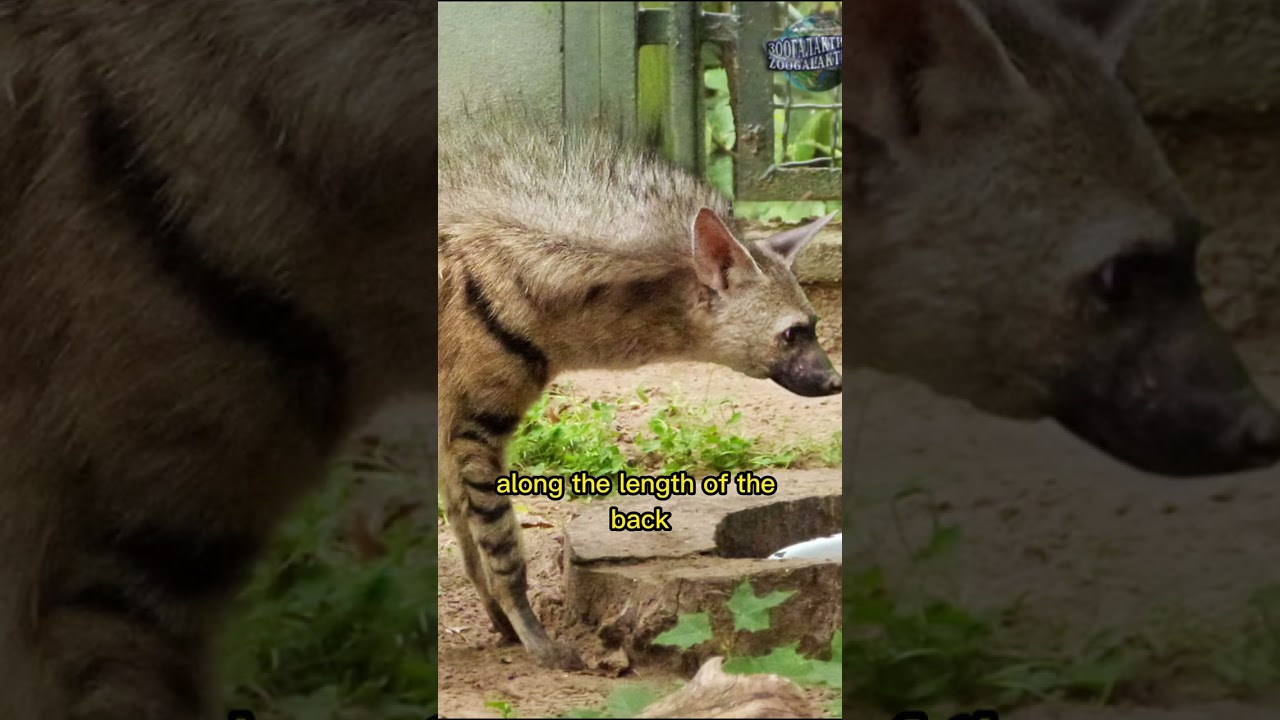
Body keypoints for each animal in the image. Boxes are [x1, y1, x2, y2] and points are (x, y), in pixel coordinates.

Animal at [437, 111, 842, 669]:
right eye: (791, 333)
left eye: (815, 326)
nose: (836, 380)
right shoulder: (477, 423)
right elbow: (502, 547)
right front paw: (542, 644)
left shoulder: (450, 425)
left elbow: (467, 536)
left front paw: (502, 628)